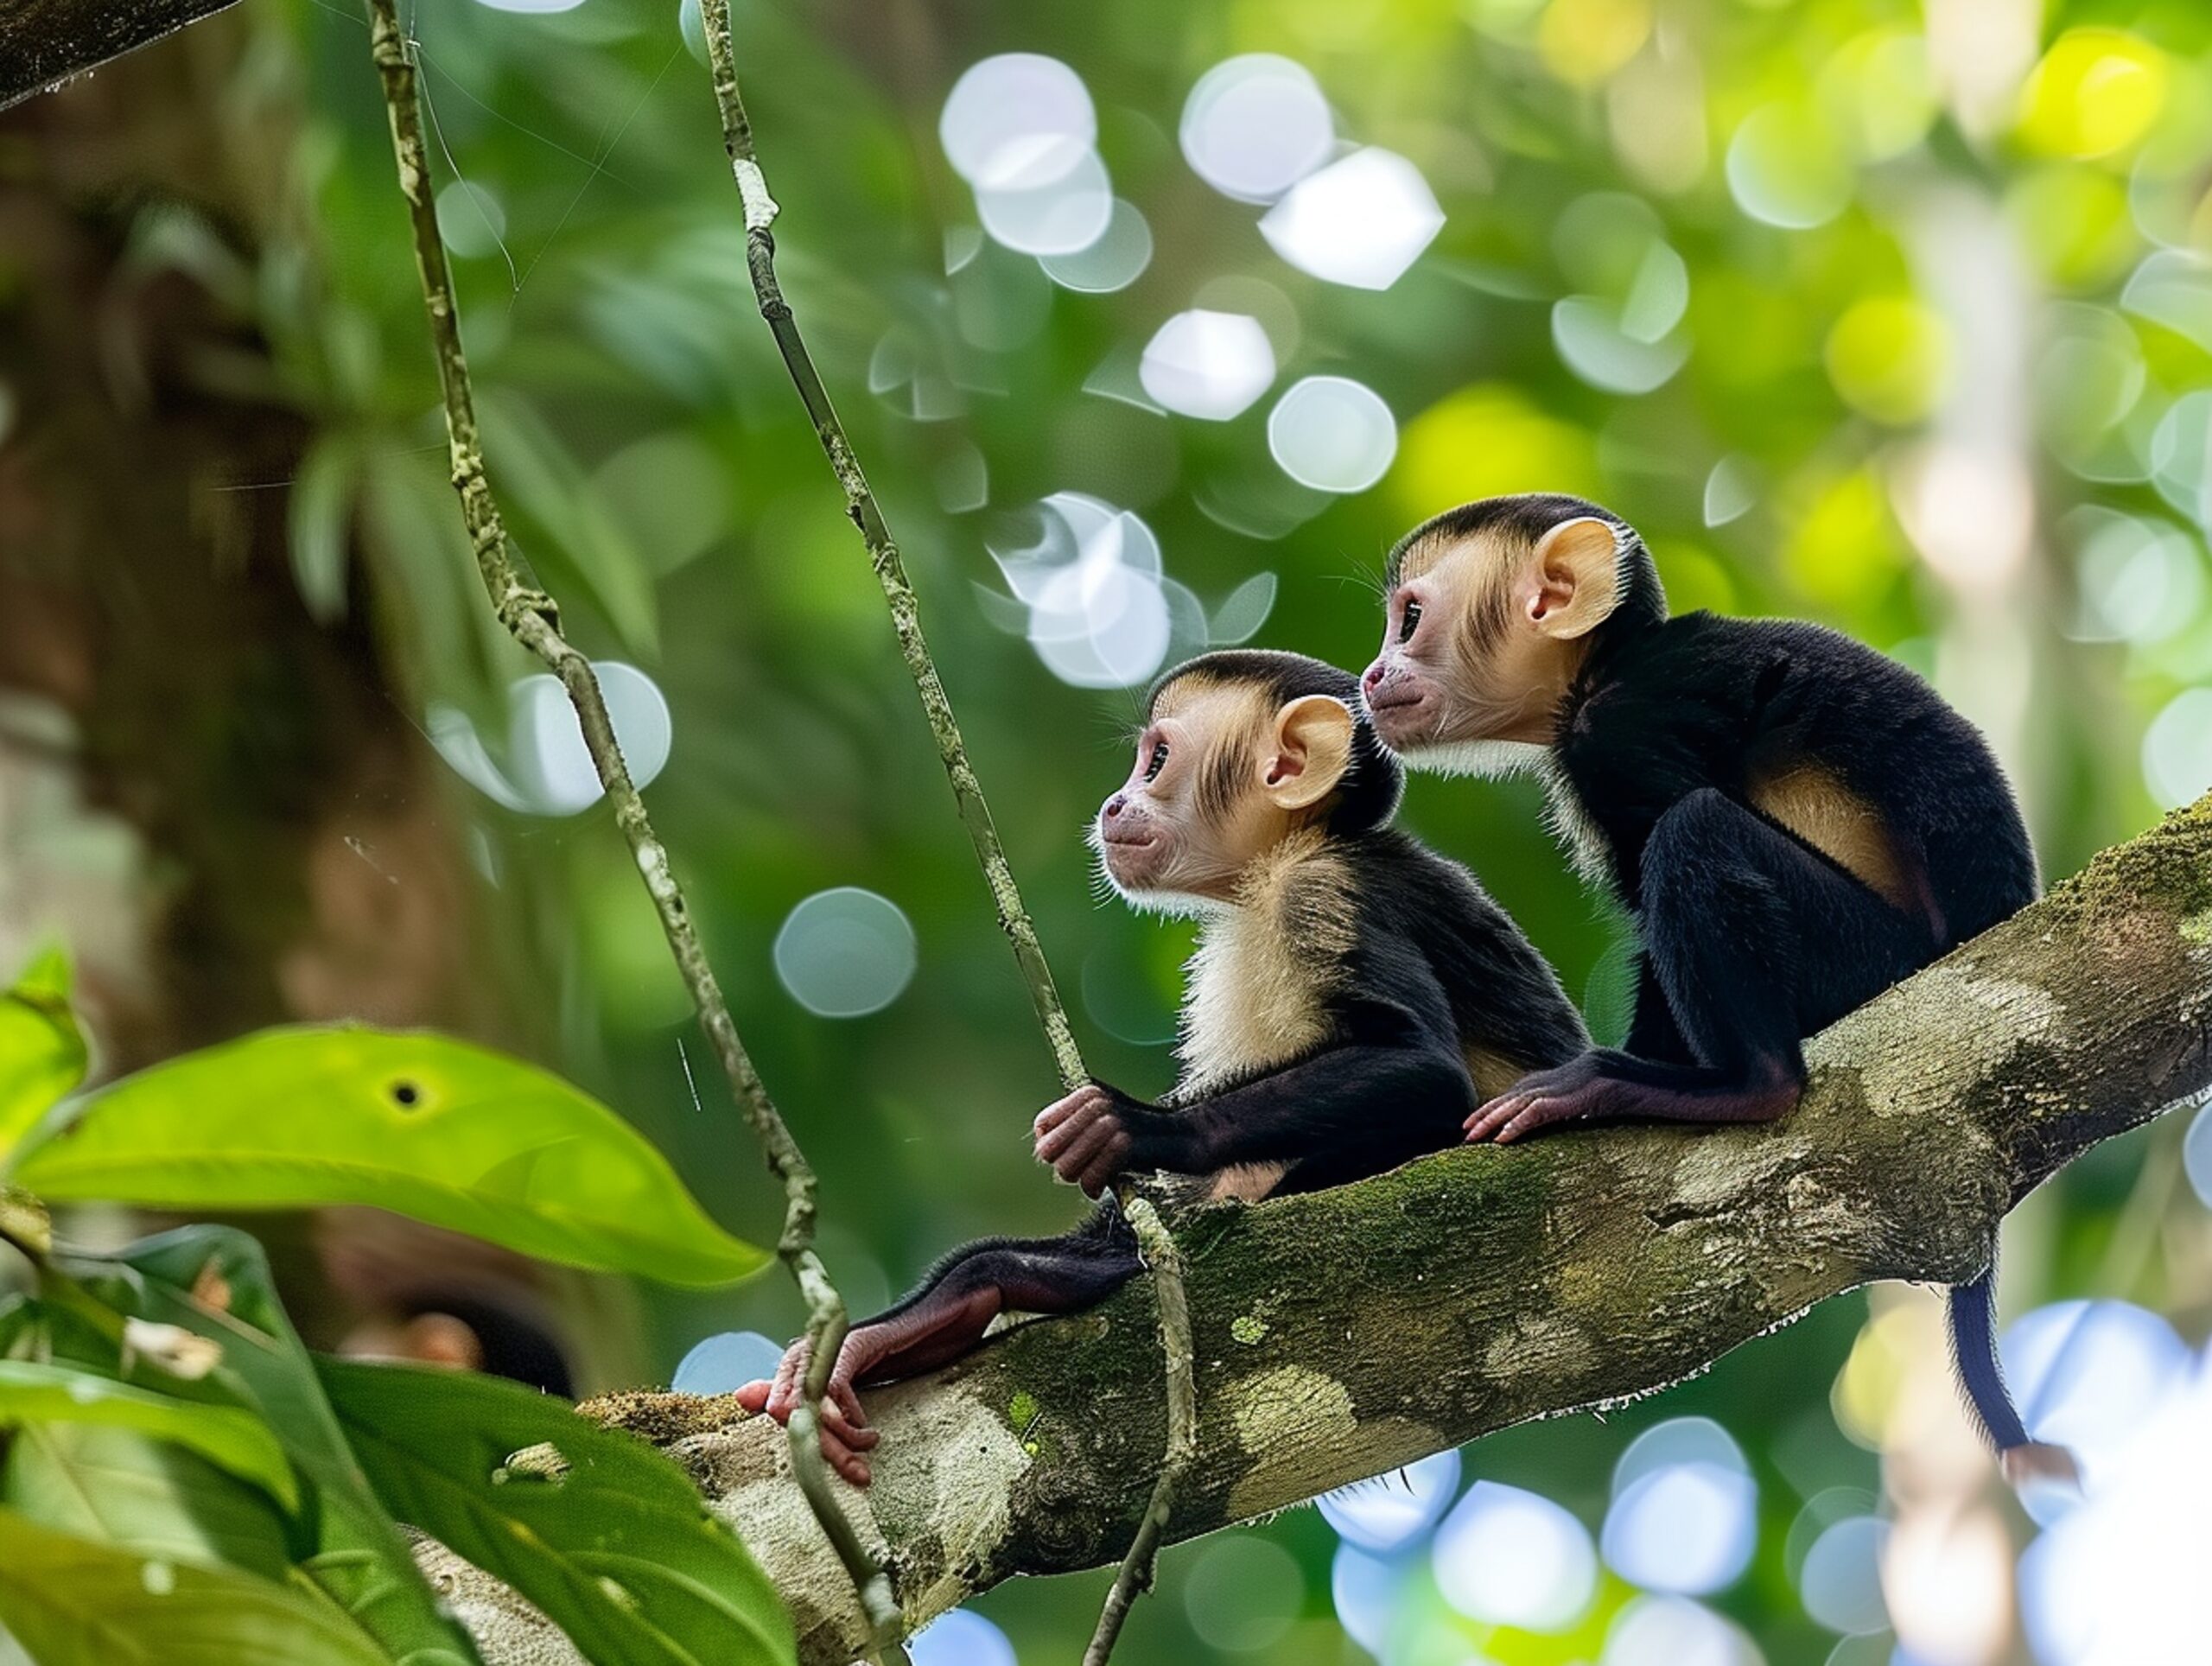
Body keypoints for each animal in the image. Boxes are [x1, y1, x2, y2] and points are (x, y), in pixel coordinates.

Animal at [743, 650, 1592, 1478]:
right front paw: (961, 1293)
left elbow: (1424, 1070)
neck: (1288, 855)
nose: (1115, 804)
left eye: (1155, 762)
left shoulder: (1325, 892)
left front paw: (1131, 1127)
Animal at [1362, 486, 2070, 1486]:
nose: (1372, 672)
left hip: (1874, 960)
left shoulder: (1621, 729)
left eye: (1411, 619)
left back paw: (1741, 1084)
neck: (1604, 666)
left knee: (1697, 831)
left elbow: (1668, 835)